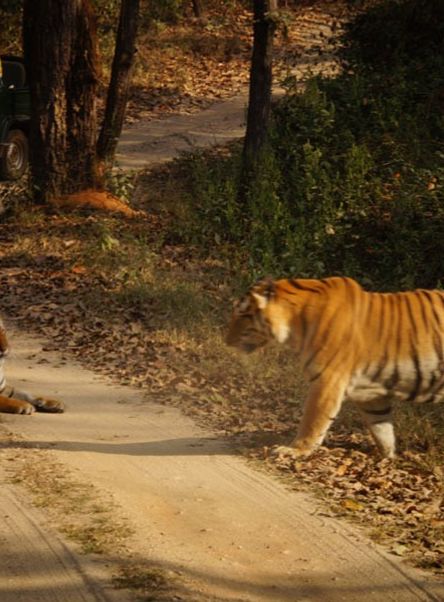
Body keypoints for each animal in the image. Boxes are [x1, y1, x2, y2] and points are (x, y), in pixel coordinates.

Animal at [227, 274, 442, 458]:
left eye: (243, 314)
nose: (226, 340)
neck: (295, 324)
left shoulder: (328, 380)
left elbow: (313, 420)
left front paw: (294, 450)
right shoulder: (371, 394)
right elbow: (382, 428)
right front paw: (389, 457)